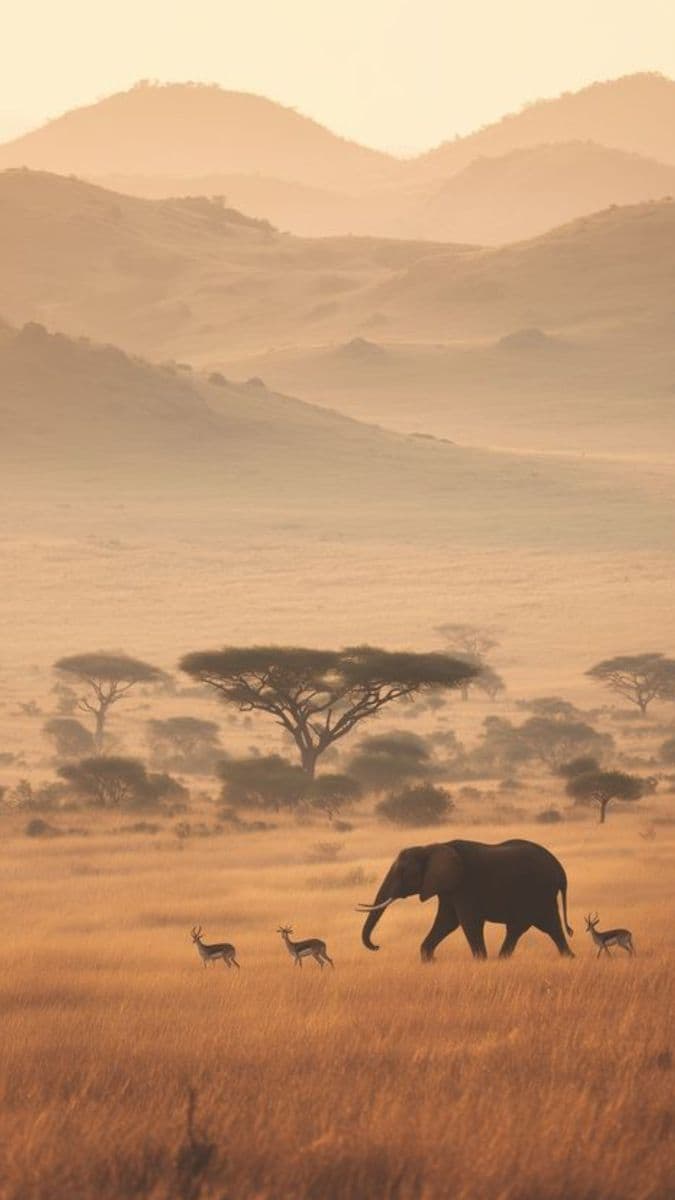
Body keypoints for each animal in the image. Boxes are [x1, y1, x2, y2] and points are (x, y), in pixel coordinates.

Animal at [357, 838, 573, 961]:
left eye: (403, 872)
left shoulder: (465, 885)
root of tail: (560, 869)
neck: (432, 847)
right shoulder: (448, 887)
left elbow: (467, 922)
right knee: (535, 928)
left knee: (540, 926)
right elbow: (446, 922)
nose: (377, 946)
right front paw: (430, 959)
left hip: (539, 892)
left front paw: (480, 961)